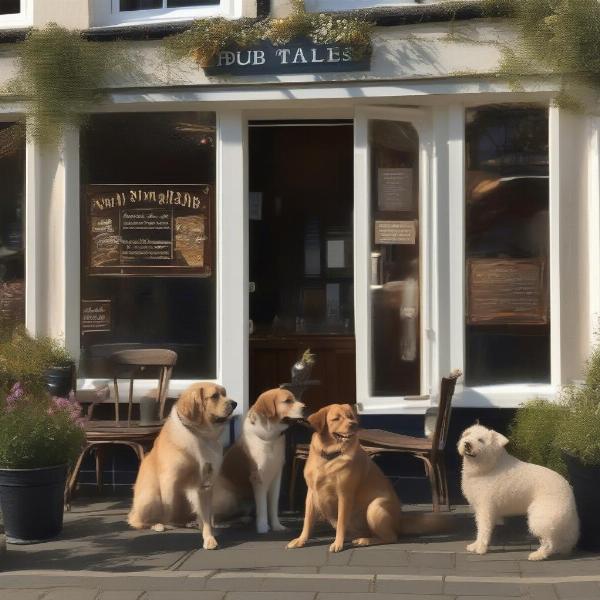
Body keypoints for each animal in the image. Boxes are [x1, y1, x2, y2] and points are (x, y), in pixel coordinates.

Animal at [127, 384, 236, 548]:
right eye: (215, 396)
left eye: (224, 394)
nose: (235, 403)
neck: (199, 434)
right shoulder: (169, 480)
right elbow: (168, 507)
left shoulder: (205, 485)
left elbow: (206, 517)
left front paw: (208, 537)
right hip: (151, 497)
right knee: (136, 520)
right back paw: (158, 524)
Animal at [213, 390, 304, 536]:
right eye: (287, 401)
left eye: (294, 398)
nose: (305, 407)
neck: (270, 438)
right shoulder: (258, 479)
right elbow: (263, 507)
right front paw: (263, 527)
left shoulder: (276, 477)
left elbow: (273, 506)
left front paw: (277, 526)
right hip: (228, 499)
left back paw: (243, 519)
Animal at [286, 404, 446, 552]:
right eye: (336, 418)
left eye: (350, 416)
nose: (353, 424)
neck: (329, 457)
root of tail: (400, 519)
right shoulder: (311, 494)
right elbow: (307, 520)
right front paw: (301, 540)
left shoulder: (344, 495)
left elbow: (341, 523)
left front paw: (338, 544)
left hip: (375, 507)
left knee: (391, 537)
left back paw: (364, 540)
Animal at [458, 424, 580, 560]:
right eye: (467, 435)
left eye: (481, 440)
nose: (467, 444)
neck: (489, 466)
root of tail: (568, 488)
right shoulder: (479, 509)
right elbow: (479, 528)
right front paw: (475, 545)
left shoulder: (486, 509)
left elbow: (484, 530)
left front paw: (480, 548)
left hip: (541, 517)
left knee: (549, 542)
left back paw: (538, 555)